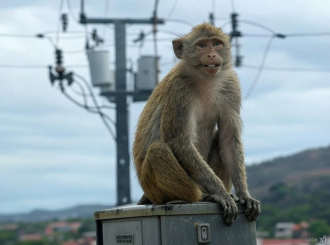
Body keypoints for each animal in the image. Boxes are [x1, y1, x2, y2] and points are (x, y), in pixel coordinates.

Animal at [131, 22, 260, 226]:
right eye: (202, 45)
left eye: (216, 44)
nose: (212, 55)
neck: (205, 80)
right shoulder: (179, 90)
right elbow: (179, 143)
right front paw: (222, 194)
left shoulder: (231, 86)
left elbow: (229, 140)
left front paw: (244, 195)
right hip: (151, 186)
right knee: (158, 149)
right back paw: (200, 196)